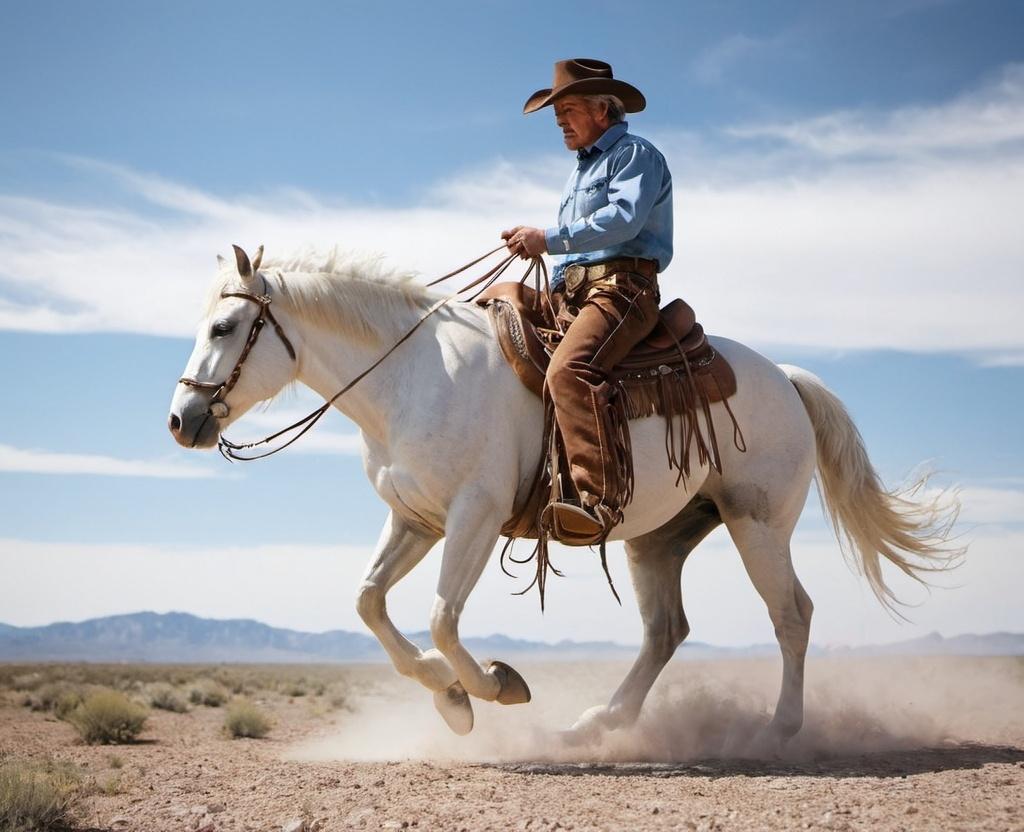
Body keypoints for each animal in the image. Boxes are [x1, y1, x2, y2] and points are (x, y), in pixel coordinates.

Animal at [167, 244, 958, 754]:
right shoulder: (415, 519)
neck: (412, 378)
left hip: (756, 523)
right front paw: (450, 699)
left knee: (791, 615)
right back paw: (594, 725)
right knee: (666, 630)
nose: (181, 420)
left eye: (224, 327)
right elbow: (369, 603)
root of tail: (788, 378)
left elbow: (442, 617)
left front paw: (492, 687)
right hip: (659, 538)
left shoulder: (475, 516)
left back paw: (774, 734)